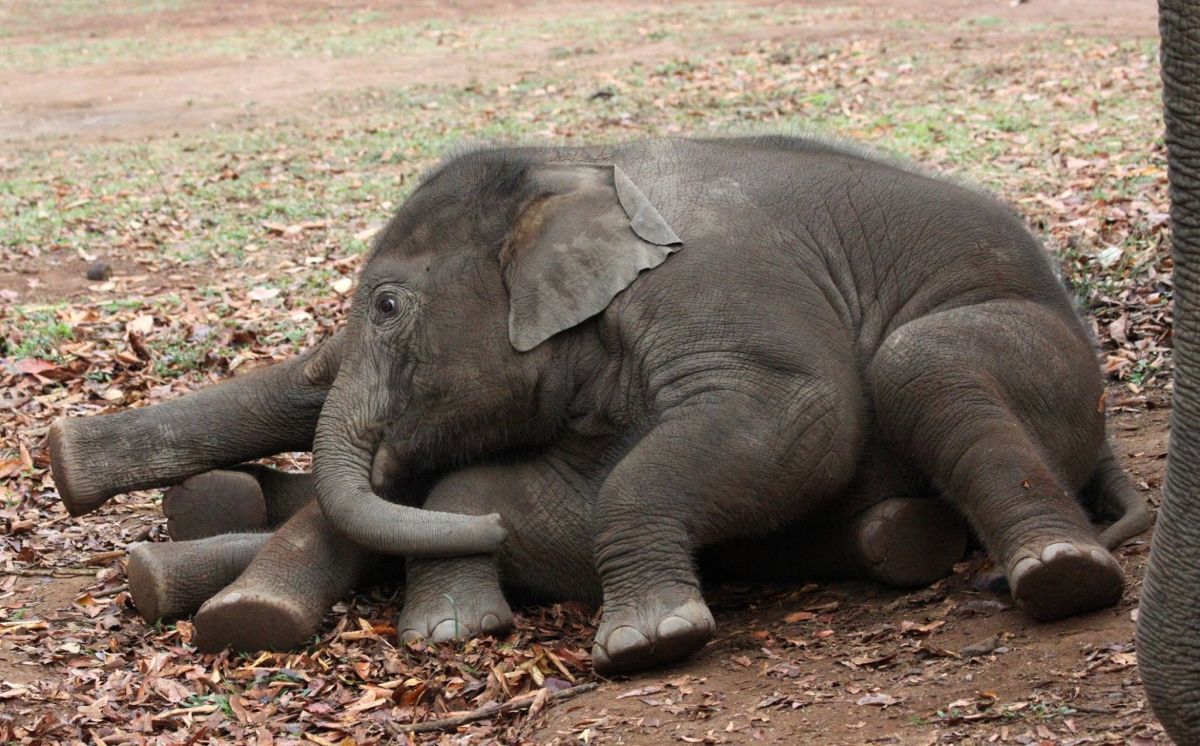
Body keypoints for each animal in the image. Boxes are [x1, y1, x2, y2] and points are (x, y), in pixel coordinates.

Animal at [54, 136, 1152, 676]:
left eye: (388, 307)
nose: (57, 456)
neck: (571, 170)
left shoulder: (718, 288)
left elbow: (802, 416)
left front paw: (650, 644)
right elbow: (533, 503)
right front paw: (454, 629)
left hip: (1039, 358)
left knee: (922, 363)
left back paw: (1055, 577)